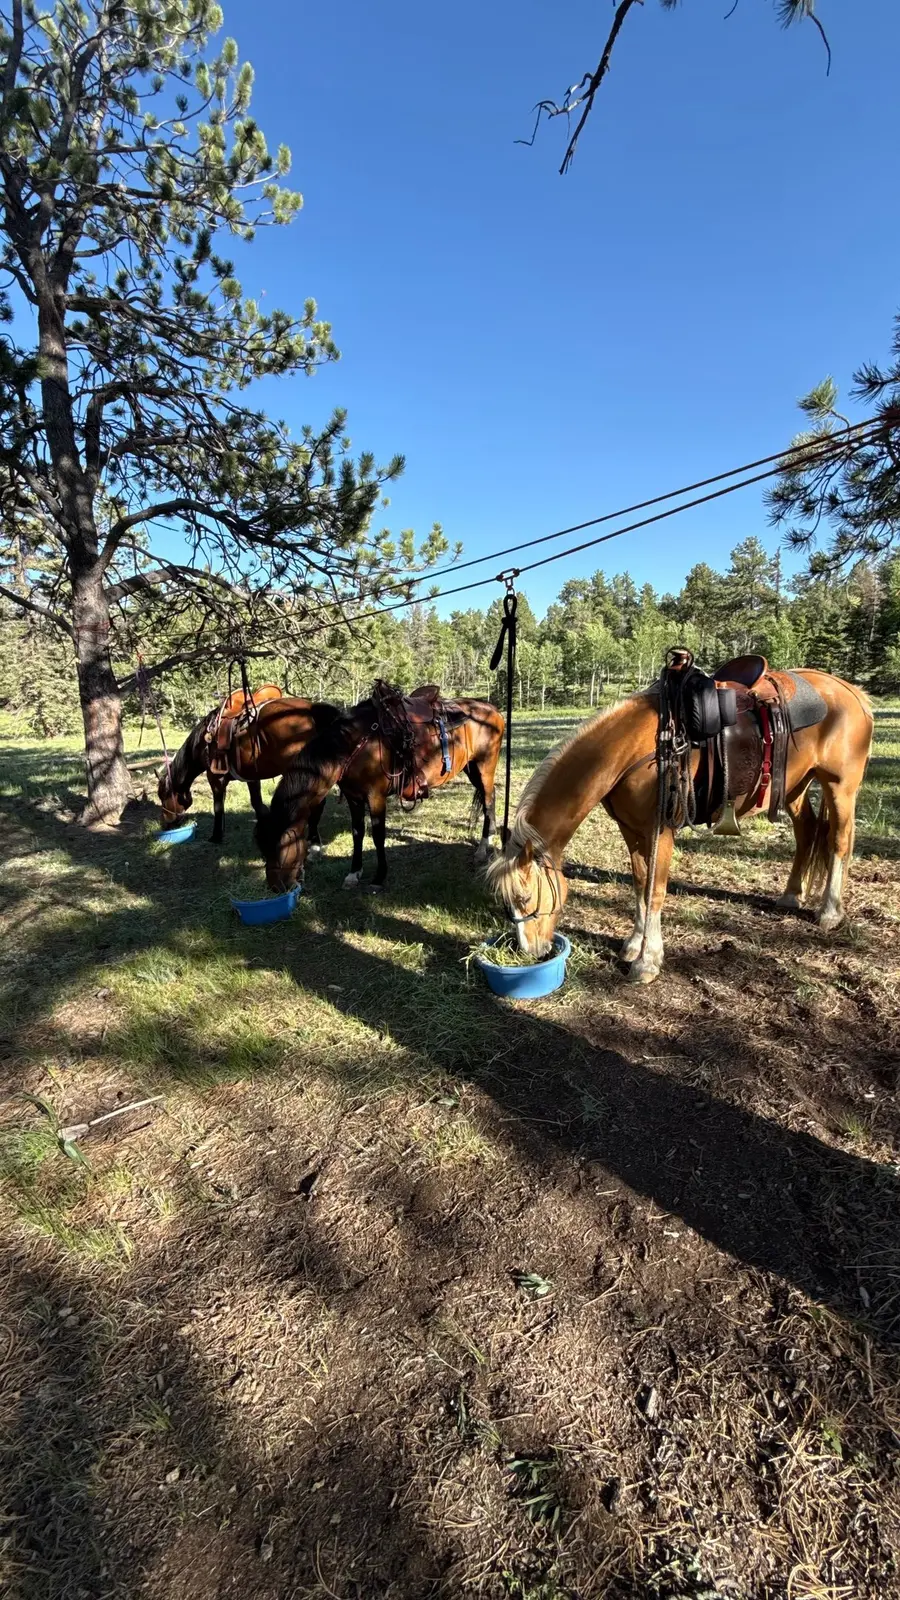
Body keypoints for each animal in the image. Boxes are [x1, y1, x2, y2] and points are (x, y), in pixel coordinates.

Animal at [158, 689, 341, 844]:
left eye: (162, 795)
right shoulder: (252, 777)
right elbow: (257, 804)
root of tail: (312, 709)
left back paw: (312, 840)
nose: (165, 822)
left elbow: (218, 807)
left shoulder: (215, 778)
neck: (201, 744)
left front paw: (216, 836)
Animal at [256, 685, 506, 892]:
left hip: (485, 767)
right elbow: (358, 833)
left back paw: (483, 847)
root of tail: (492, 709)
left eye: (281, 849)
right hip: (471, 768)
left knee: (489, 800)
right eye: (263, 850)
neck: (355, 746)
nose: (276, 888)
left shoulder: (375, 796)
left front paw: (378, 877)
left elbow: (377, 835)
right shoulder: (354, 797)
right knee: (489, 798)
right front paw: (354, 873)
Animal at [487, 667, 874, 984]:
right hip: (794, 788)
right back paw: (792, 895)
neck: (639, 747)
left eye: (524, 897)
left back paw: (829, 912)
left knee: (839, 840)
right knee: (807, 832)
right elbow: (640, 884)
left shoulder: (661, 831)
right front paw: (634, 945)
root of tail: (852, 691)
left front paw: (648, 962)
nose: (531, 952)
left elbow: (655, 890)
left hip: (840, 787)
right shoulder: (632, 829)